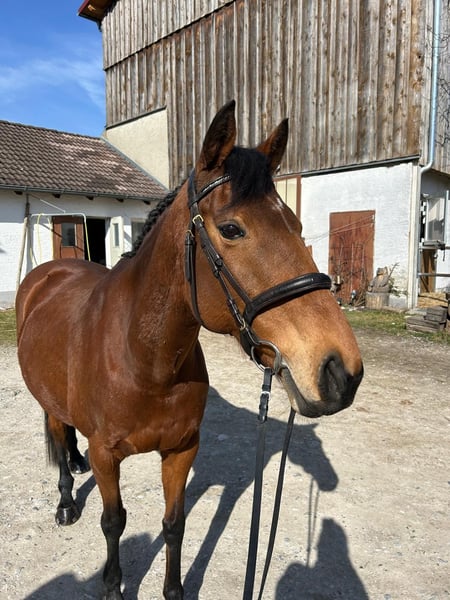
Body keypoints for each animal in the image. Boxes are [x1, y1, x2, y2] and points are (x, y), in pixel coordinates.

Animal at [16, 100, 363, 600]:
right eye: (232, 229)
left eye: (296, 226)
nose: (341, 371)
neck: (144, 361)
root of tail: (48, 272)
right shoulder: (107, 457)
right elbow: (113, 523)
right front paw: (112, 586)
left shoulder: (182, 451)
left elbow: (174, 525)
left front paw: (175, 590)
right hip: (45, 401)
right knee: (59, 435)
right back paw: (66, 499)